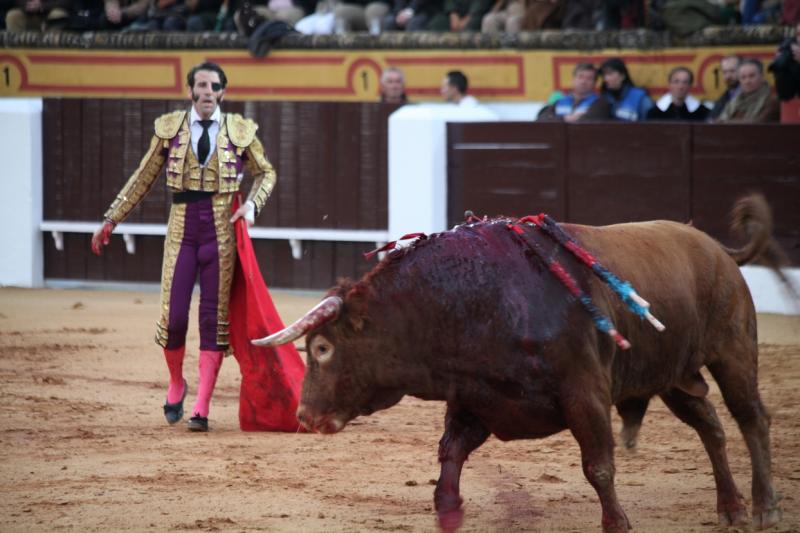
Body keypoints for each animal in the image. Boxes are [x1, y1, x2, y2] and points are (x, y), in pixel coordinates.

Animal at [256, 195, 788, 532]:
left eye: (322, 349)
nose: (304, 416)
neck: (473, 299)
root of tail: (715, 247)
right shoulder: (478, 398)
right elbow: (449, 454)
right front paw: (448, 512)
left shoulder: (585, 393)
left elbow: (598, 466)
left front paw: (616, 523)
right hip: (675, 377)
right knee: (710, 424)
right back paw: (731, 509)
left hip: (734, 353)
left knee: (751, 420)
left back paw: (765, 509)